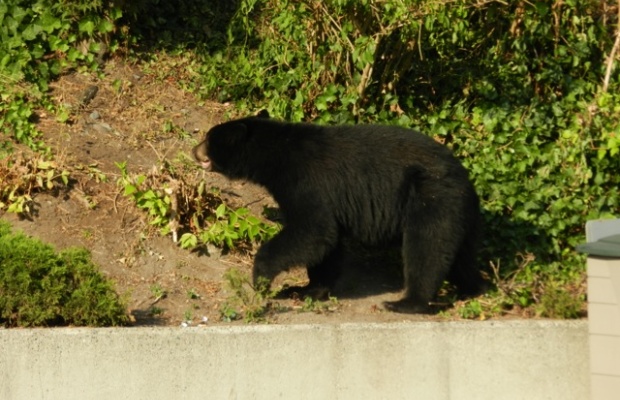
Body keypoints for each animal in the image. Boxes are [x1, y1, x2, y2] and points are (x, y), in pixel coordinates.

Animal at [194, 111, 484, 314]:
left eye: (208, 138)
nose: (194, 150)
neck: (276, 157)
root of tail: (466, 178)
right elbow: (327, 244)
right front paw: (307, 289)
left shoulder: (308, 182)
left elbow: (313, 231)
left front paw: (262, 279)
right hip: (457, 211)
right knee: (457, 252)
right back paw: (470, 289)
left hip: (430, 198)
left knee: (427, 247)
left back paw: (407, 303)